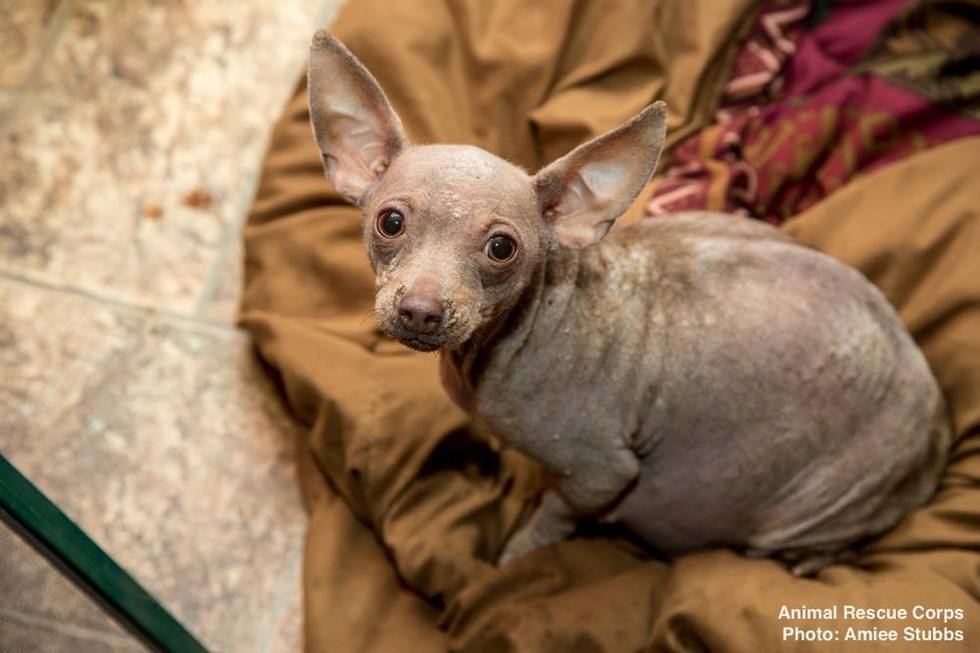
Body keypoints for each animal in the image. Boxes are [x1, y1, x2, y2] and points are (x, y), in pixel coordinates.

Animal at [306, 31, 948, 572]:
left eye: (501, 248)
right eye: (390, 222)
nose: (420, 309)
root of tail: (936, 432)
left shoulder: (602, 472)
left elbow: (550, 518)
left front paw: (512, 558)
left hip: (807, 511)